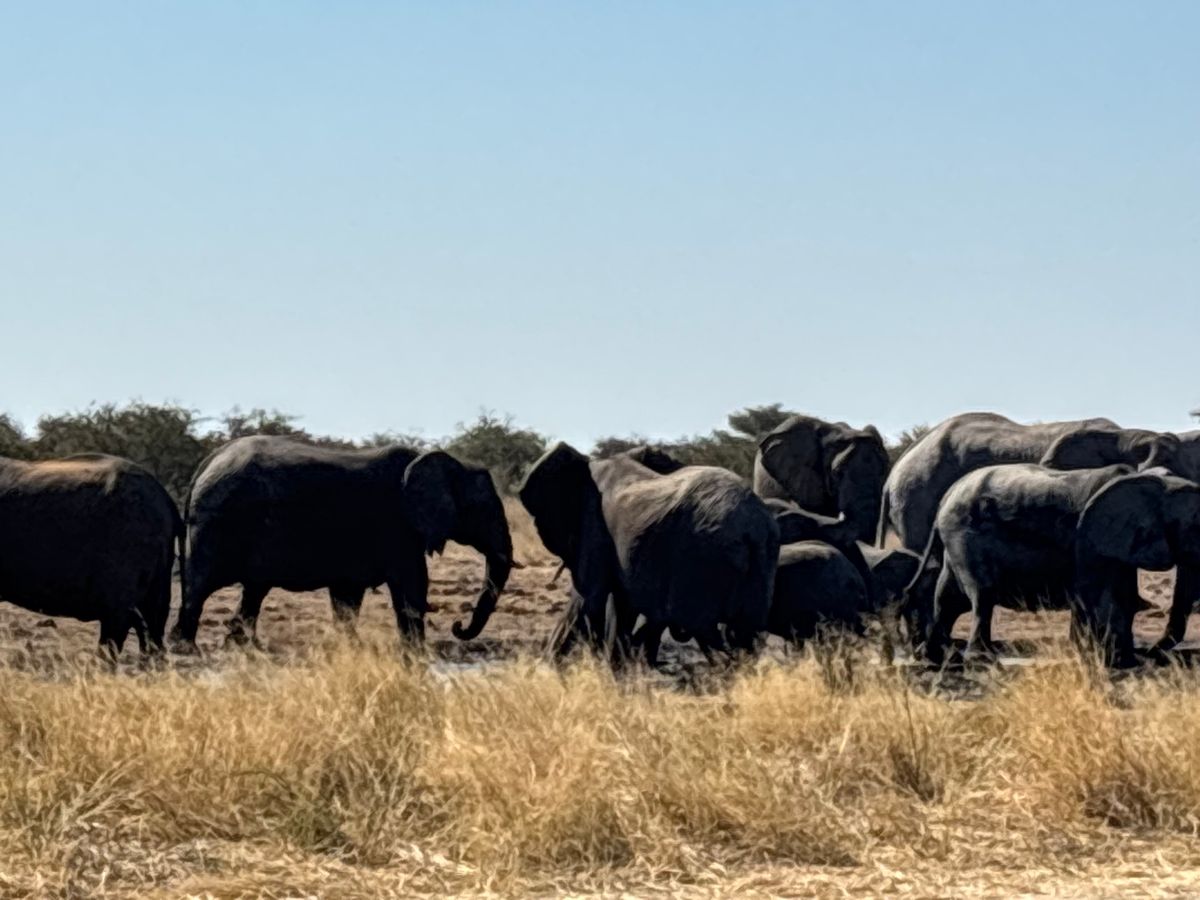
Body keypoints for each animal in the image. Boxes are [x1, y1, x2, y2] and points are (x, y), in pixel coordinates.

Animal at [170, 436, 516, 650]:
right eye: (484, 510)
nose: (458, 626)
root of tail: (208, 461)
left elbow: (348, 596)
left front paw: (352, 647)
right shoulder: (398, 527)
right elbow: (412, 585)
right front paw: (415, 651)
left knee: (252, 589)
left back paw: (242, 646)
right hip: (217, 522)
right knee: (202, 585)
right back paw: (185, 646)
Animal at [518, 442, 779, 666]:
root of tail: (753, 526)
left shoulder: (593, 524)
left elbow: (587, 599)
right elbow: (621, 606)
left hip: (702, 560)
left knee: (707, 631)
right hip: (761, 561)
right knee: (743, 634)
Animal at [902, 463, 1137, 665]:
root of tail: (947, 495)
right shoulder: (1090, 542)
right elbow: (1095, 595)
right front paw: (1104, 658)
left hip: (956, 541)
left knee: (949, 597)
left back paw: (936, 657)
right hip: (964, 536)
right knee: (981, 594)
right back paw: (978, 659)